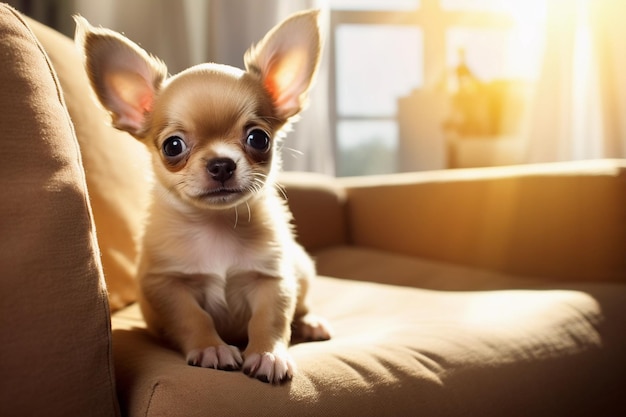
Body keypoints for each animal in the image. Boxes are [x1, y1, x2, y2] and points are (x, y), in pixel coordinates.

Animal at [75, 8, 332, 384]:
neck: (216, 225)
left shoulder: (272, 280)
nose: (221, 164)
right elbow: (193, 318)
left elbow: (270, 319)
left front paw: (268, 354)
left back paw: (311, 322)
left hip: (302, 268)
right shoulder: (169, 286)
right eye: (173, 146)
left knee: (302, 307)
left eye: (259, 139)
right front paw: (212, 348)